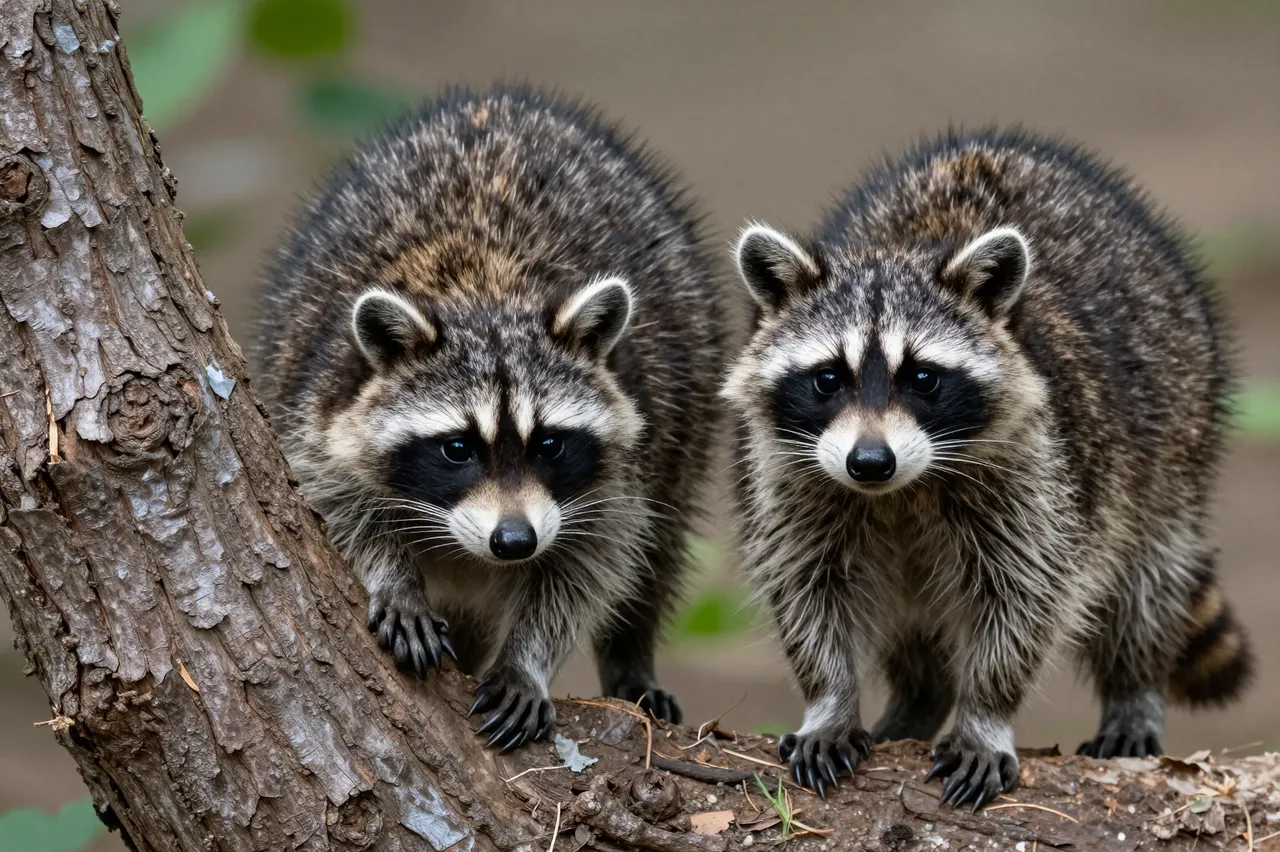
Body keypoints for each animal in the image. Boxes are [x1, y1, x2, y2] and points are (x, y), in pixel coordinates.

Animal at [256, 87, 725, 751]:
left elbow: (592, 562)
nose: (514, 541)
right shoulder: (320, 402)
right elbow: (334, 504)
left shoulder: (626, 459)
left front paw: (527, 660)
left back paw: (631, 658)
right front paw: (392, 576)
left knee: (657, 551)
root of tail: (496, 103)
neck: (486, 289)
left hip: (688, 407)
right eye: (457, 448)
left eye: (550, 444)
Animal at [723, 129, 1252, 808]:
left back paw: (1134, 688)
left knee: (1145, 582)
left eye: (923, 378)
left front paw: (985, 714)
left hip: (1176, 436)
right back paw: (918, 703)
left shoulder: (1044, 472)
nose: (870, 462)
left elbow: (1024, 598)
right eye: (828, 379)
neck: (903, 491)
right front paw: (830, 702)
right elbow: (809, 589)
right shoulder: (790, 477)